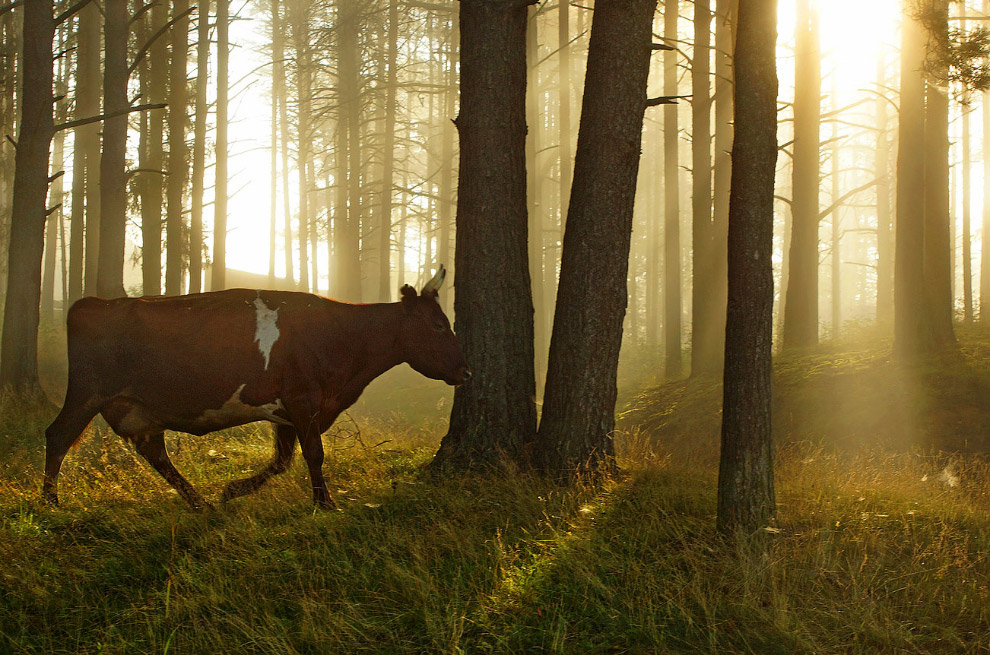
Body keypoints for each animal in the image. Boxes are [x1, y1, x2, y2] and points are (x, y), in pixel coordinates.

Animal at [42, 264, 468, 510]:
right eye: (438, 325)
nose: (466, 370)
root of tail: (94, 303)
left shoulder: (289, 411)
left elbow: (282, 460)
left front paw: (233, 490)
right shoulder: (303, 399)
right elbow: (314, 454)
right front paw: (325, 503)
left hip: (139, 408)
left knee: (155, 453)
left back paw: (201, 503)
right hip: (87, 392)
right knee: (58, 435)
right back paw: (50, 504)